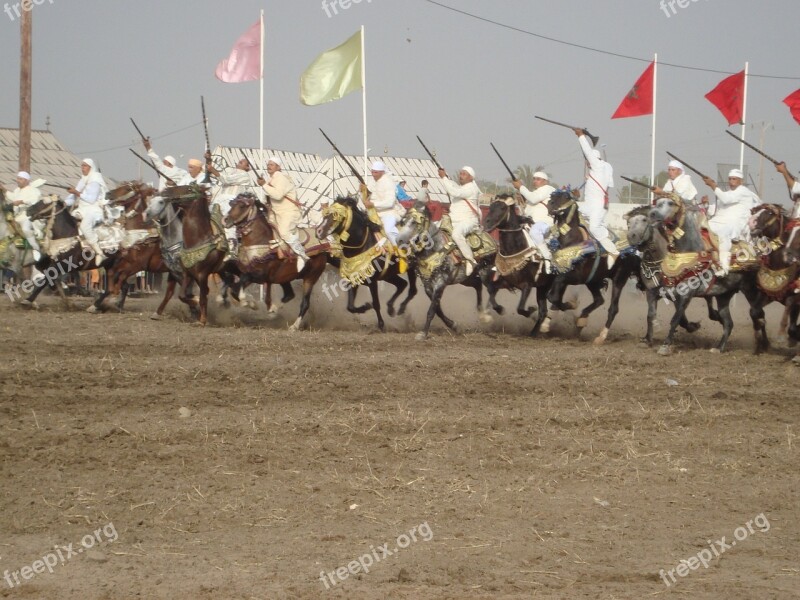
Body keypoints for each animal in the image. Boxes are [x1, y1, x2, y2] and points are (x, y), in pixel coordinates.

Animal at [222, 192, 328, 330]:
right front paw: (252, 303)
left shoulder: (258, 275)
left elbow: (239, 285)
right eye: (231, 204)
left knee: (305, 303)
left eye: (242, 206)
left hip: (310, 278)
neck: (262, 241)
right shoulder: (249, 273)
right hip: (285, 278)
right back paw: (274, 309)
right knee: (289, 295)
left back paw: (293, 326)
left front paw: (250, 303)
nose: (225, 220)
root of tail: (324, 244)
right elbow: (235, 289)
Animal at [312, 196, 416, 330]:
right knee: (402, 284)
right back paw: (391, 308)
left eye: (335, 215)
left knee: (412, 290)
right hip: (388, 275)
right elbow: (350, 307)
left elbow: (376, 303)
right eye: (325, 214)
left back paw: (401, 309)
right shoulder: (353, 278)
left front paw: (381, 325)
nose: (318, 232)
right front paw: (365, 307)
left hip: (412, 268)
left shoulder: (372, 280)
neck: (362, 245)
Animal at [396, 203, 496, 340]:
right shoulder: (428, 285)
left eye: (414, 222)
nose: (399, 241)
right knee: (477, 285)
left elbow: (431, 310)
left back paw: (488, 315)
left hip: (485, 272)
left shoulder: (440, 283)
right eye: (403, 221)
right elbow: (437, 308)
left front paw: (423, 333)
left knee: (491, 288)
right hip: (465, 279)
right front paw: (453, 325)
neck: (434, 248)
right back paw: (481, 313)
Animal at [548, 190, 640, 344]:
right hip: (593, 280)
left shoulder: (575, 277)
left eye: (565, 197)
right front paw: (546, 322)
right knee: (599, 300)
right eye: (551, 196)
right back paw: (581, 320)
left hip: (619, 279)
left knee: (613, 308)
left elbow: (555, 297)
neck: (573, 240)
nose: (550, 204)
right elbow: (553, 297)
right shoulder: (563, 275)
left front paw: (570, 305)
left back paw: (601, 336)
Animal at [648, 192, 764, 354]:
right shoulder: (668, 291)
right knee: (729, 323)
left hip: (750, 291)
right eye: (657, 202)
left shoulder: (687, 294)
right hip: (723, 296)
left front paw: (665, 346)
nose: (652, 214)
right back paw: (719, 348)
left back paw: (762, 346)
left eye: (670, 203)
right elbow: (660, 313)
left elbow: (675, 319)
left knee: (758, 314)